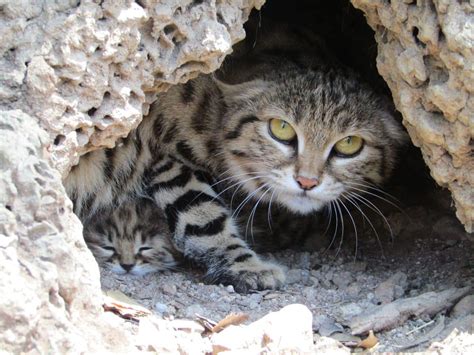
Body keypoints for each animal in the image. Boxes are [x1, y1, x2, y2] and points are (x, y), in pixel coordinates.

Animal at [65, 24, 406, 292]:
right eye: (281, 128)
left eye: (349, 144)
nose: (307, 181)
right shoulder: (168, 160)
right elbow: (203, 218)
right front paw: (246, 267)